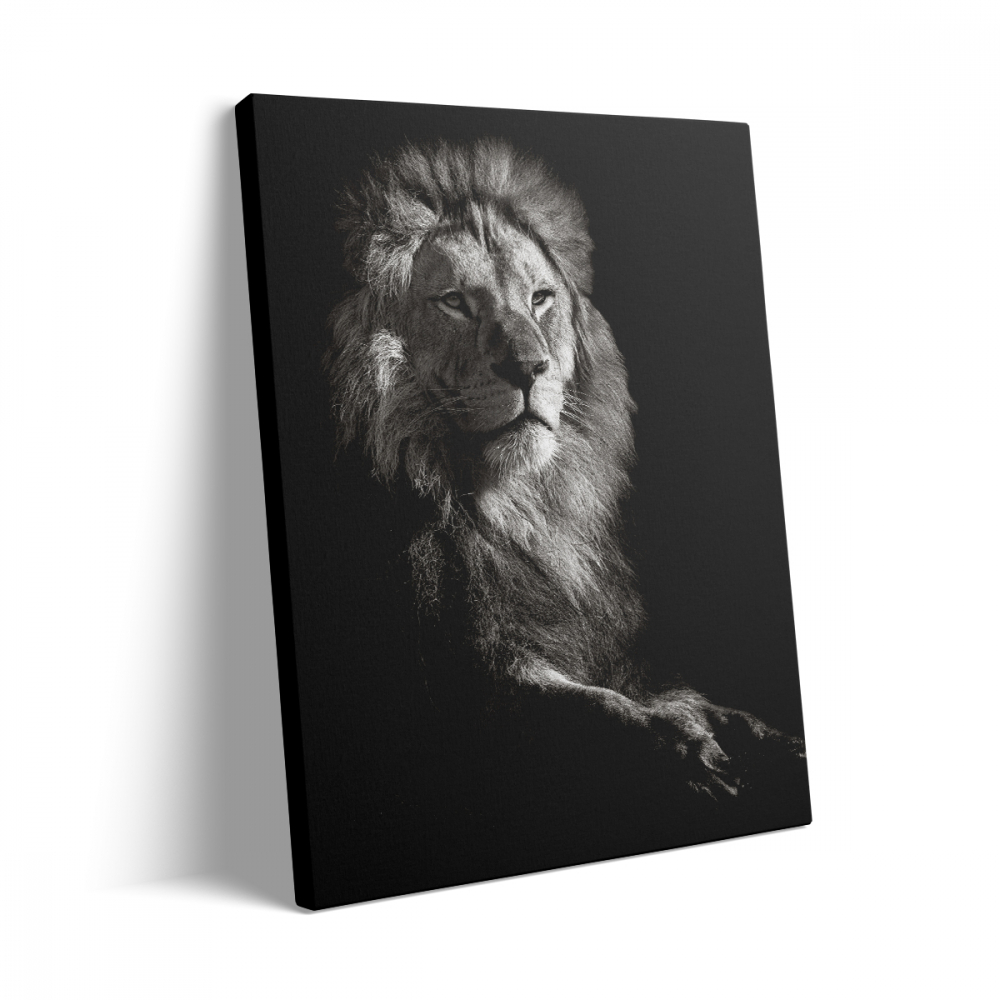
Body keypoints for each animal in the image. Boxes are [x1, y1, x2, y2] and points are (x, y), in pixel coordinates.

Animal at [325, 138, 806, 815]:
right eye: (455, 302)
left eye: (540, 299)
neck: (515, 508)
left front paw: (773, 744)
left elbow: (719, 711)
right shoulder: (471, 680)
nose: (529, 368)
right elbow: (594, 707)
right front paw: (688, 753)